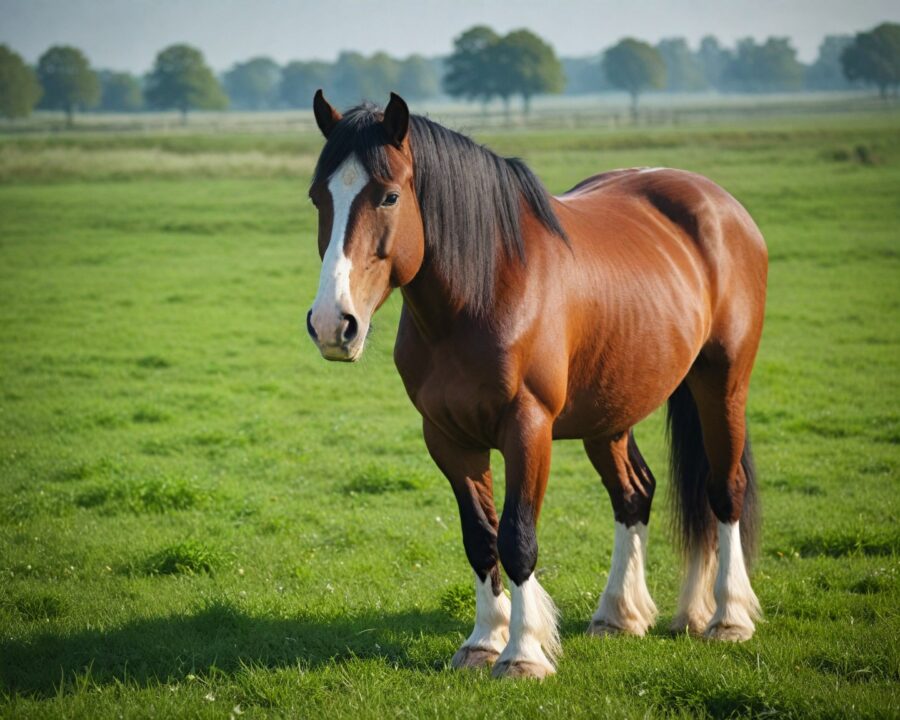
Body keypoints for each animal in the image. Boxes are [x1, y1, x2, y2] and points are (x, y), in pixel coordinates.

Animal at [305, 90, 767, 679]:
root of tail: (718, 204)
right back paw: (620, 614)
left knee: (724, 489)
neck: (484, 290)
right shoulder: (448, 438)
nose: (331, 324)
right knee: (634, 494)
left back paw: (728, 618)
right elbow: (480, 538)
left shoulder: (528, 428)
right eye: (318, 197)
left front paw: (522, 653)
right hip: (610, 412)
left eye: (388, 196)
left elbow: (517, 537)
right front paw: (483, 642)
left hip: (722, 384)